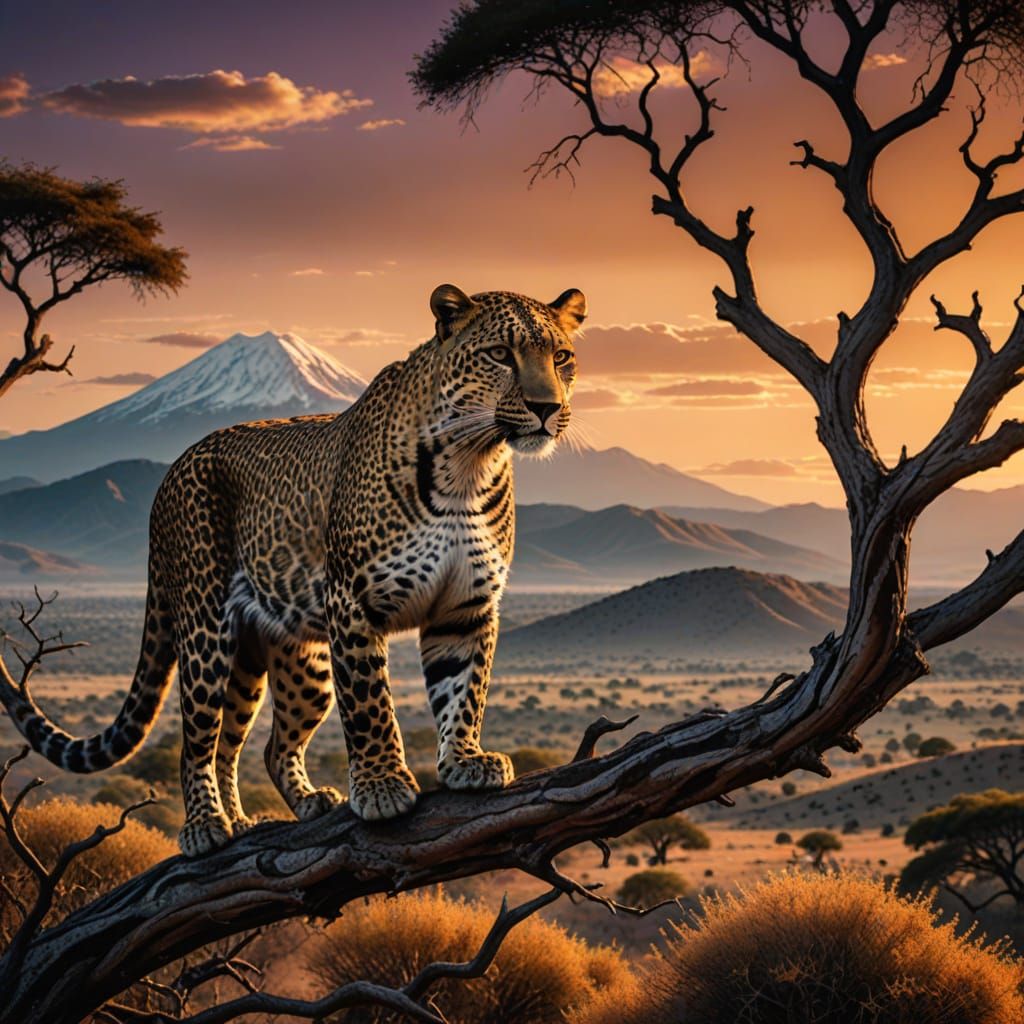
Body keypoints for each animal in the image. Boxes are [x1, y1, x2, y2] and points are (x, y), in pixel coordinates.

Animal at [0, 284, 587, 856]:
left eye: (561, 357)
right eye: (500, 355)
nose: (546, 407)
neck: (469, 463)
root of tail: (169, 477)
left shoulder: (465, 607)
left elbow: (465, 690)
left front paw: (465, 761)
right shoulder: (353, 601)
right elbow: (370, 703)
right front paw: (382, 787)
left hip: (293, 663)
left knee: (253, 745)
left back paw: (278, 810)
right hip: (205, 632)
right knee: (196, 742)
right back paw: (205, 827)